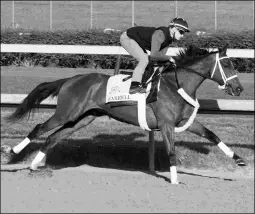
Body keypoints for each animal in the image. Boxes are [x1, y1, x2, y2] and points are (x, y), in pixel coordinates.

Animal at [3, 44, 246, 184]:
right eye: (228, 65)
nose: (239, 89)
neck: (175, 84)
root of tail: (70, 79)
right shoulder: (166, 124)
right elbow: (172, 151)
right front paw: (175, 180)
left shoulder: (184, 121)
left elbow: (212, 135)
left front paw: (240, 160)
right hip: (66, 113)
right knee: (39, 129)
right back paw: (11, 152)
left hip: (82, 119)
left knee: (53, 138)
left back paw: (34, 165)